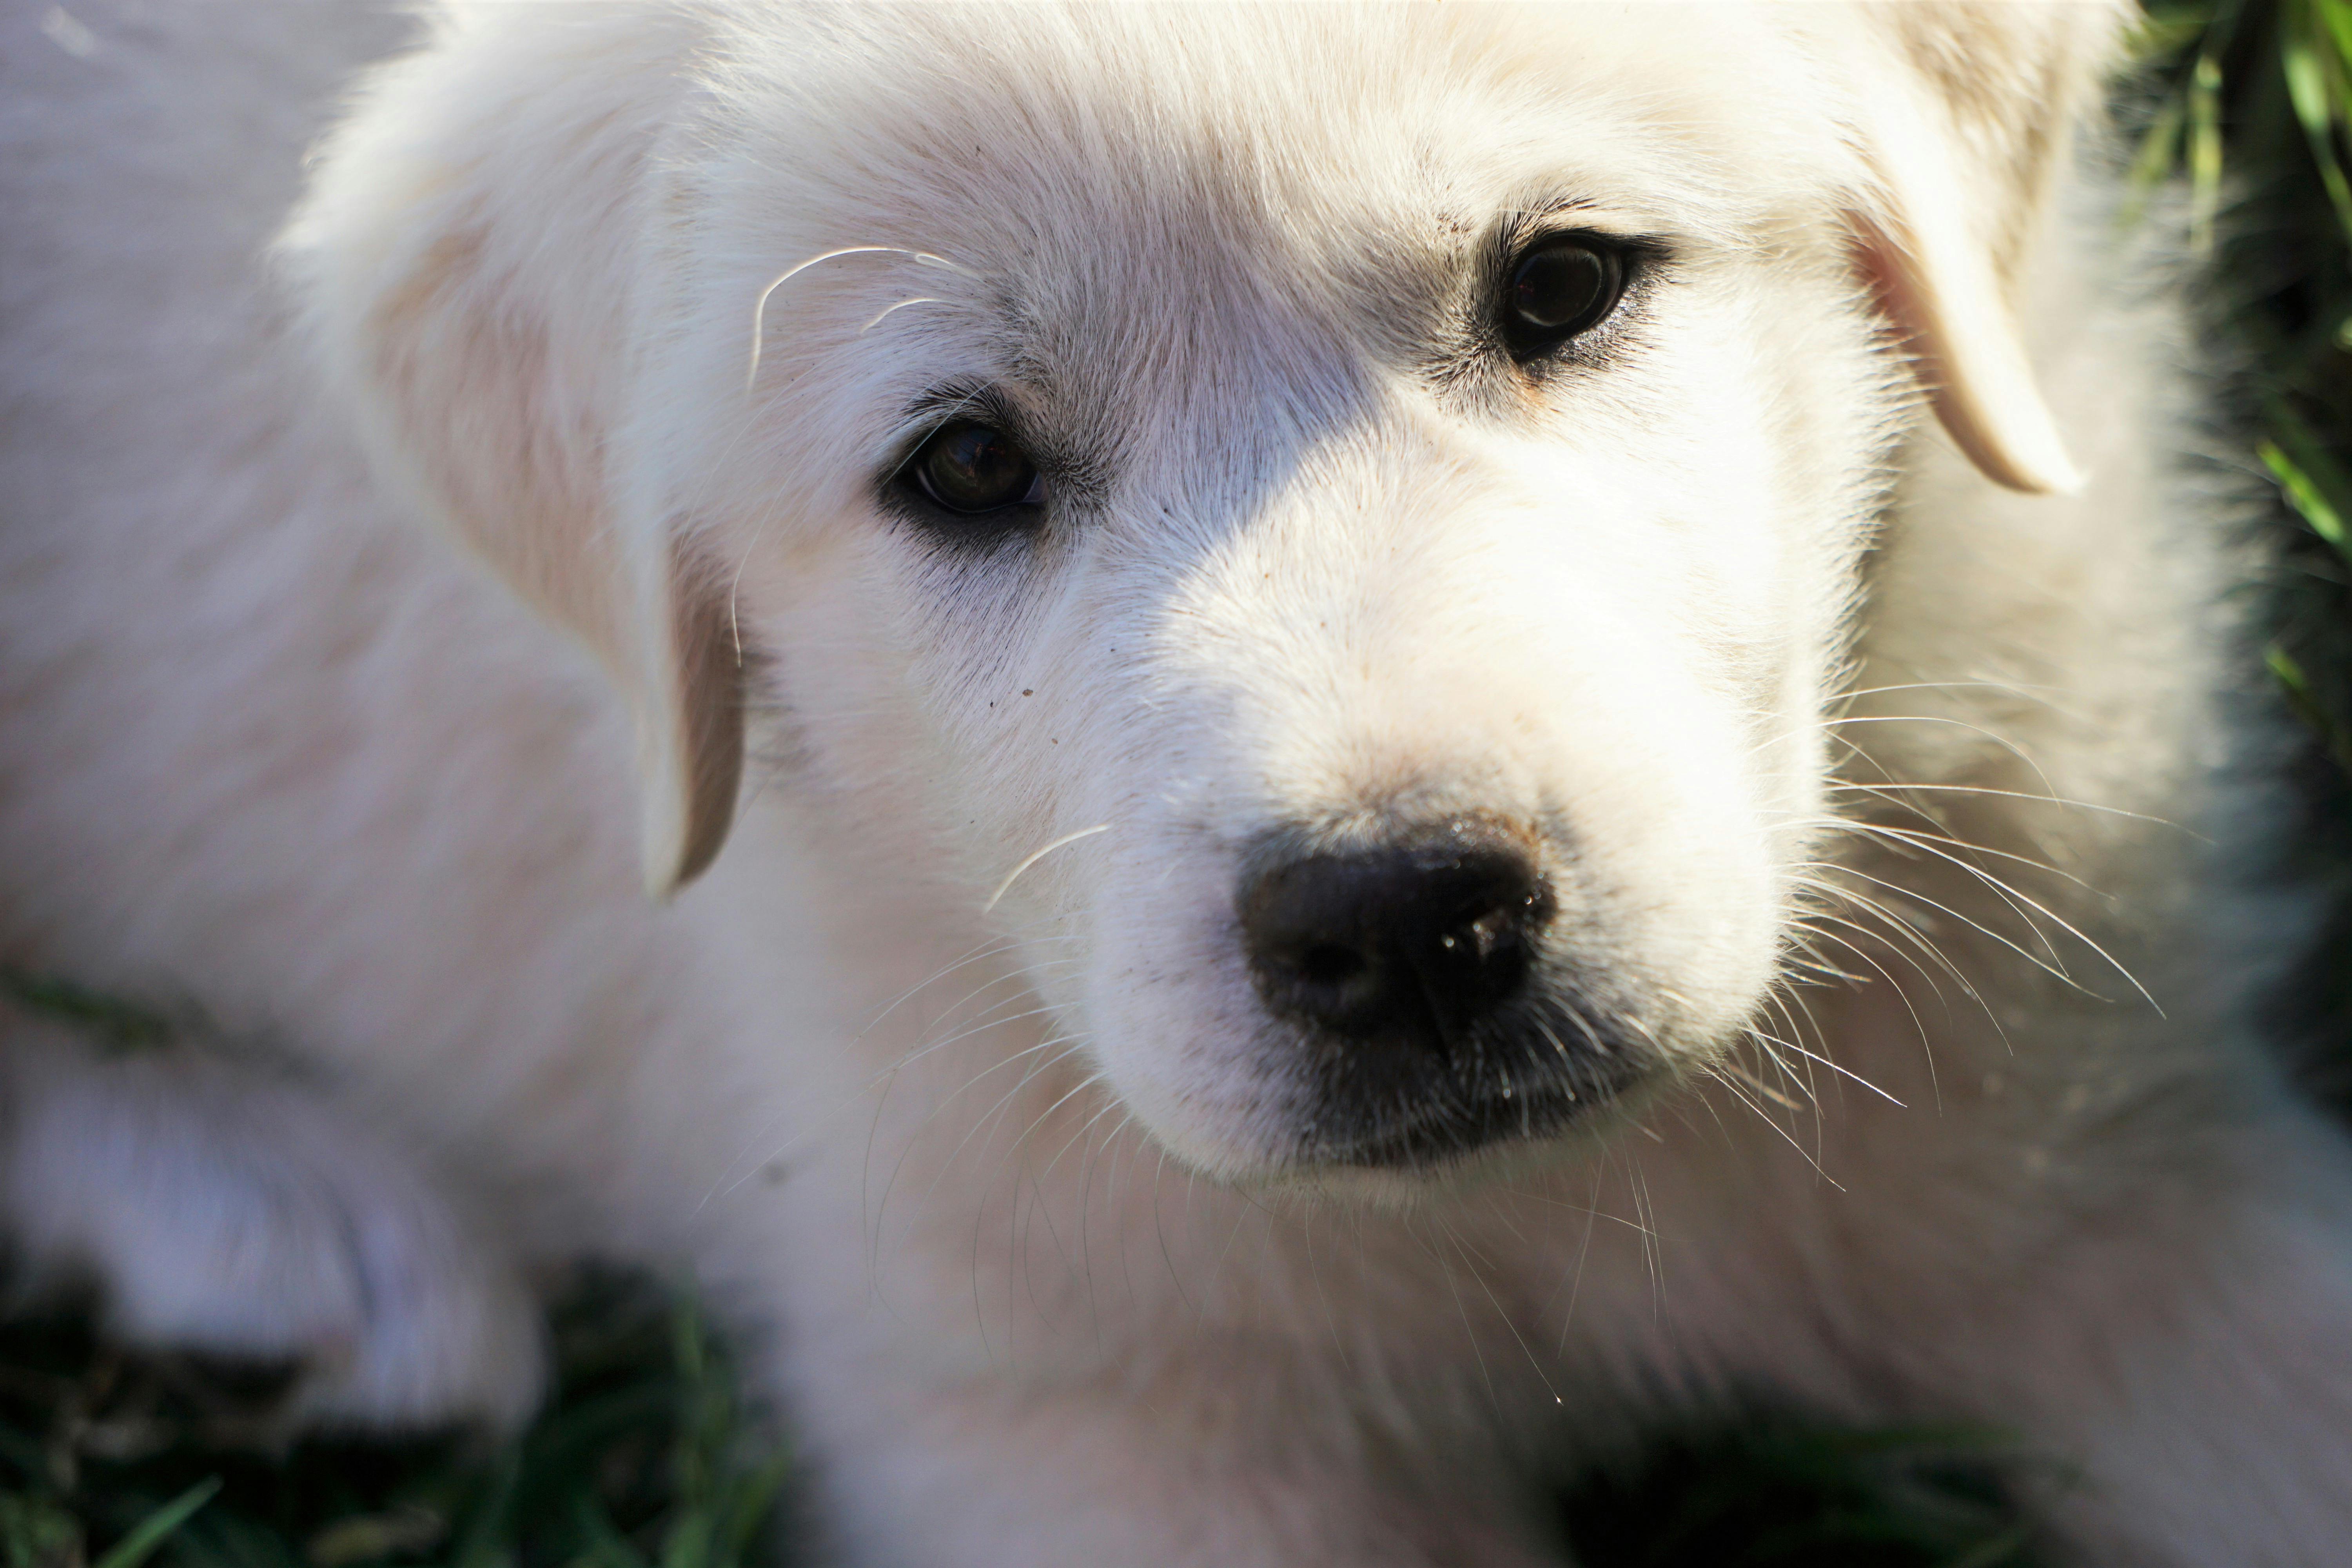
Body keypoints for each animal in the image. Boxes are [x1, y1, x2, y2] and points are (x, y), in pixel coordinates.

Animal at [4, 0, 2352, 1561]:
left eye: (1563, 282)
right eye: (963, 465)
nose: (1404, 922)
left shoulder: (2129, 1193)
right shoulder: (1092, 1423)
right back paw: (275, 1228)